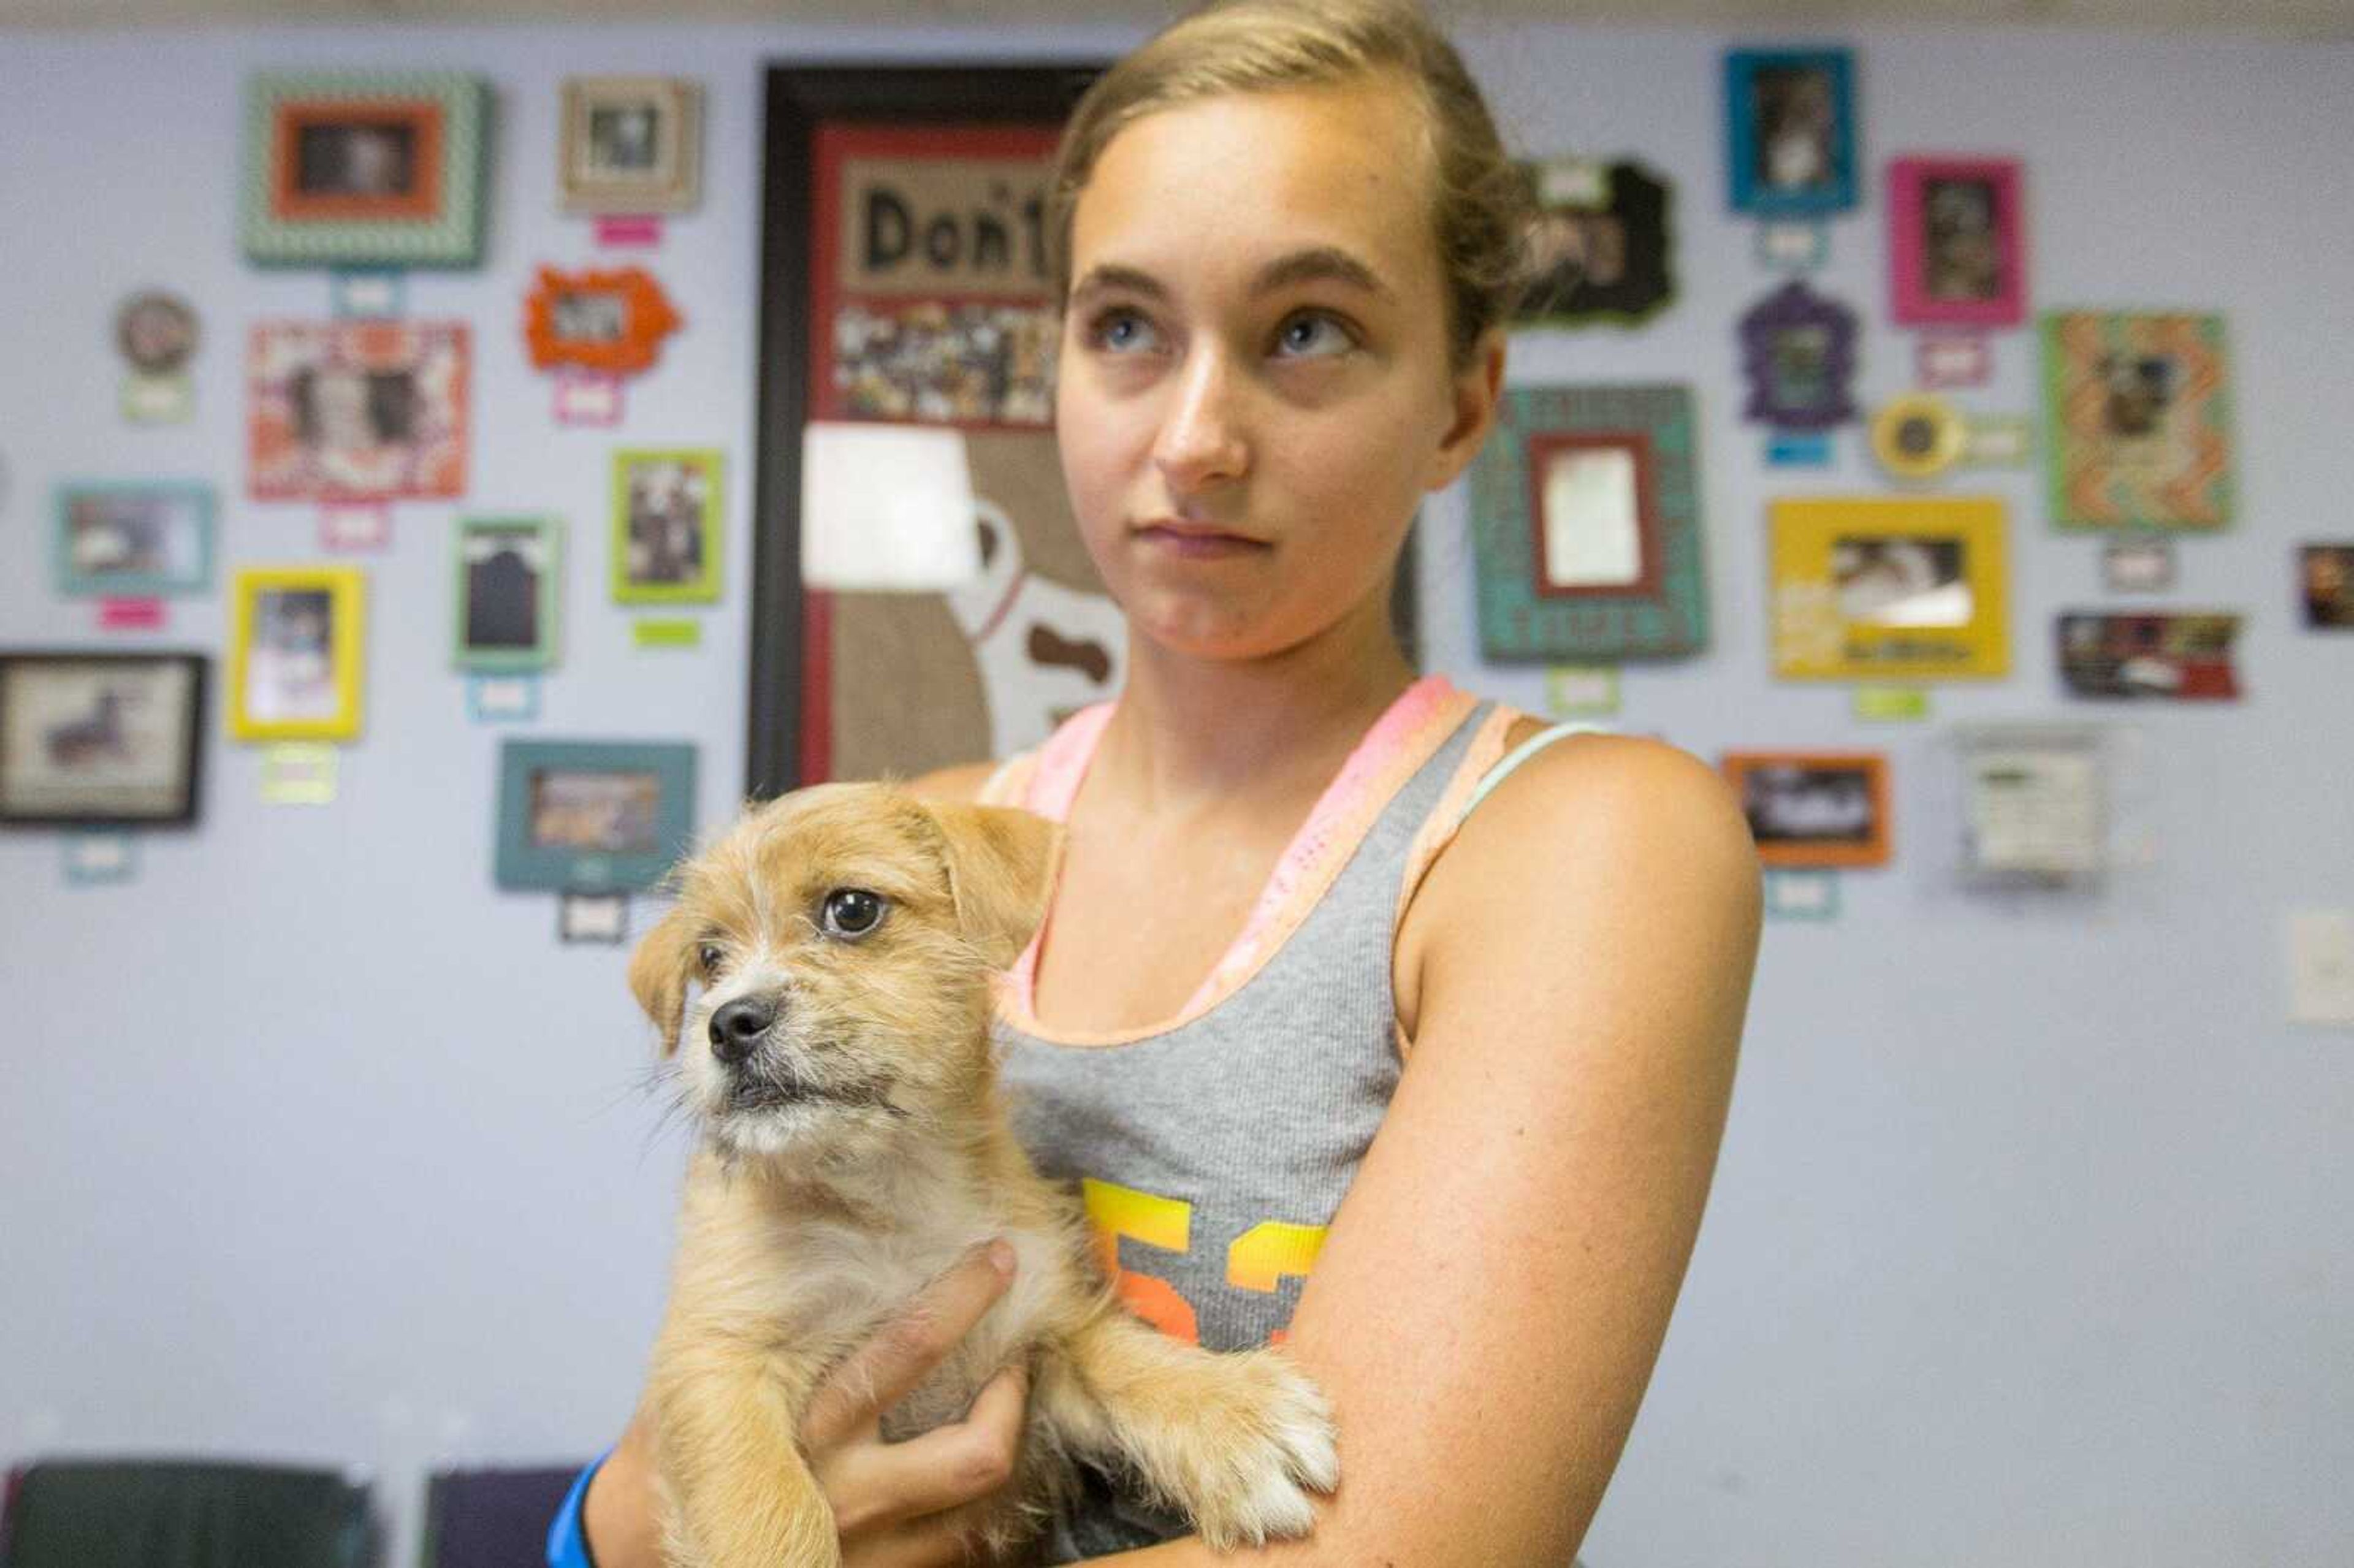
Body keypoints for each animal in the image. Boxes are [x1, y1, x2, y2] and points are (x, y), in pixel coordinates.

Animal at [631, 782, 1346, 1563]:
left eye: (852, 909)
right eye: (709, 956)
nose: (729, 1024)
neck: (890, 1195)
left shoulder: (1036, 1329)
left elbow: (1118, 1352)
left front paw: (1232, 1410)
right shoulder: (718, 1357)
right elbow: (768, 1508)